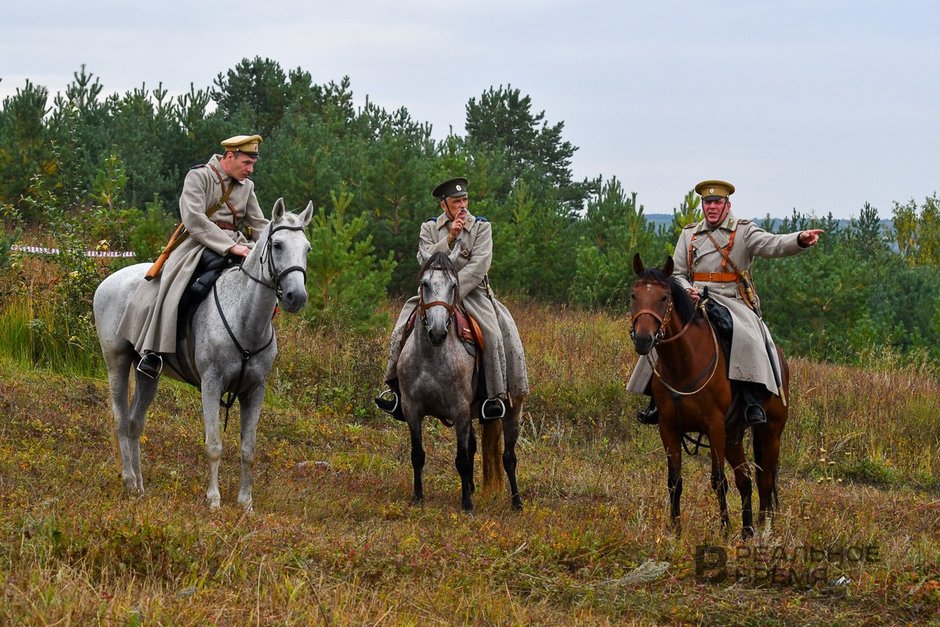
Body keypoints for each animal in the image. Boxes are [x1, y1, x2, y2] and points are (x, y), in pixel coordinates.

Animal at [92, 201, 314, 510]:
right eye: (278, 244)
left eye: (307, 248)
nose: (297, 297)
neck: (244, 318)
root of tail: (109, 280)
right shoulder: (211, 384)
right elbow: (214, 445)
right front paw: (214, 500)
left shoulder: (255, 390)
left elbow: (249, 449)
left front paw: (246, 503)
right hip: (117, 362)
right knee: (121, 421)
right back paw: (128, 480)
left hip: (146, 373)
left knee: (135, 423)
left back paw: (139, 485)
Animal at [396, 253, 524, 512]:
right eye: (425, 284)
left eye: (454, 286)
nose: (437, 332)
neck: (431, 355)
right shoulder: (411, 409)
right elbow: (418, 455)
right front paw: (418, 497)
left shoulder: (460, 409)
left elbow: (463, 459)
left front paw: (467, 504)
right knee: (474, 445)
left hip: (512, 410)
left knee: (508, 457)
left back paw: (516, 502)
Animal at [628, 253, 788, 536]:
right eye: (634, 295)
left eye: (664, 297)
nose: (643, 340)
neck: (683, 363)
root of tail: (780, 358)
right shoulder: (668, 427)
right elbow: (674, 480)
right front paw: (676, 530)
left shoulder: (714, 426)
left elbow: (718, 480)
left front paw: (723, 529)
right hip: (734, 436)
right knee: (745, 478)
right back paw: (747, 531)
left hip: (770, 432)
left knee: (765, 481)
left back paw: (764, 530)